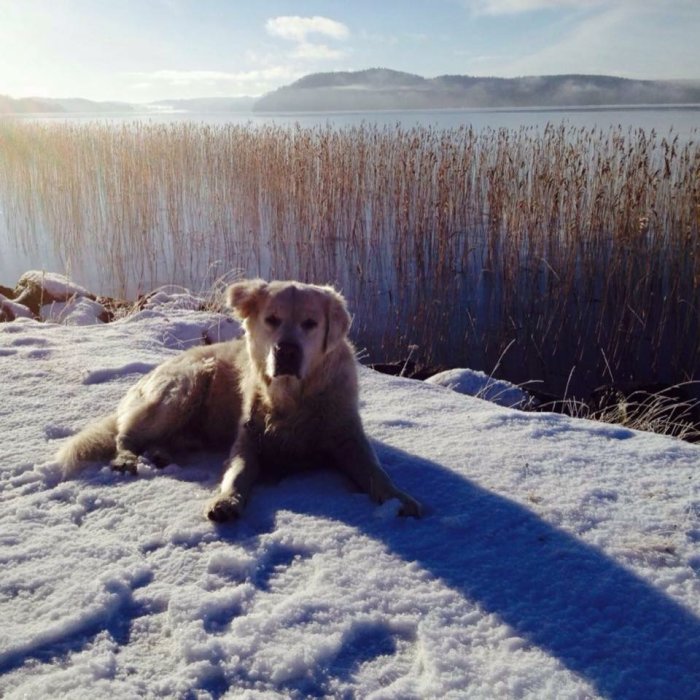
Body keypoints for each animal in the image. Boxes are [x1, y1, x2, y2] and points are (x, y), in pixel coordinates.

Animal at [56, 278, 422, 520]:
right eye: (271, 320)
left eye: (311, 323)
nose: (287, 351)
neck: (292, 396)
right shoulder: (248, 441)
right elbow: (239, 473)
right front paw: (226, 502)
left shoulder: (348, 436)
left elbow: (375, 471)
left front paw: (400, 500)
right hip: (185, 386)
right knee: (126, 435)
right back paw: (128, 459)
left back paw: (160, 455)